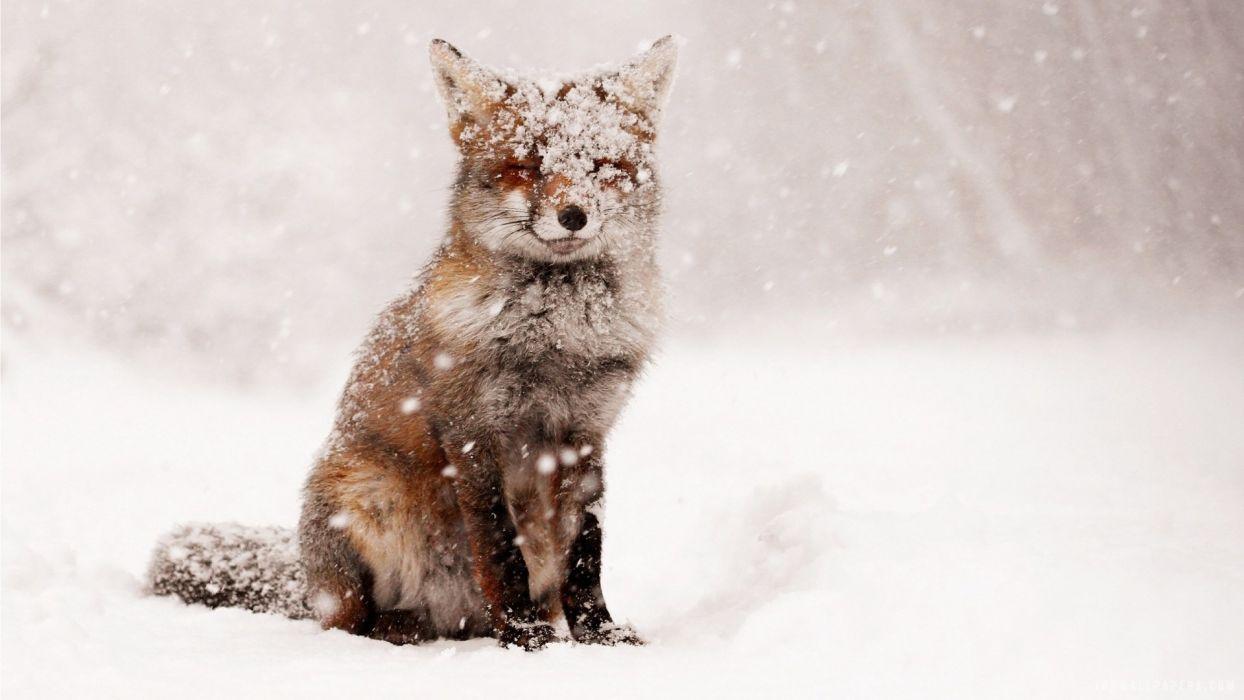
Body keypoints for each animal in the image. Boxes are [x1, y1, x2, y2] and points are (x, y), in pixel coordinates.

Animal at [148, 36, 678, 650]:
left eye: (601, 166)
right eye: (525, 167)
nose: (574, 215)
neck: (555, 341)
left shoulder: (587, 433)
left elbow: (585, 551)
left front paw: (598, 634)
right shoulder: (473, 431)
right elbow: (499, 548)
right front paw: (524, 637)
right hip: (364, 498)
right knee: (352, 622)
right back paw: (408, 629)